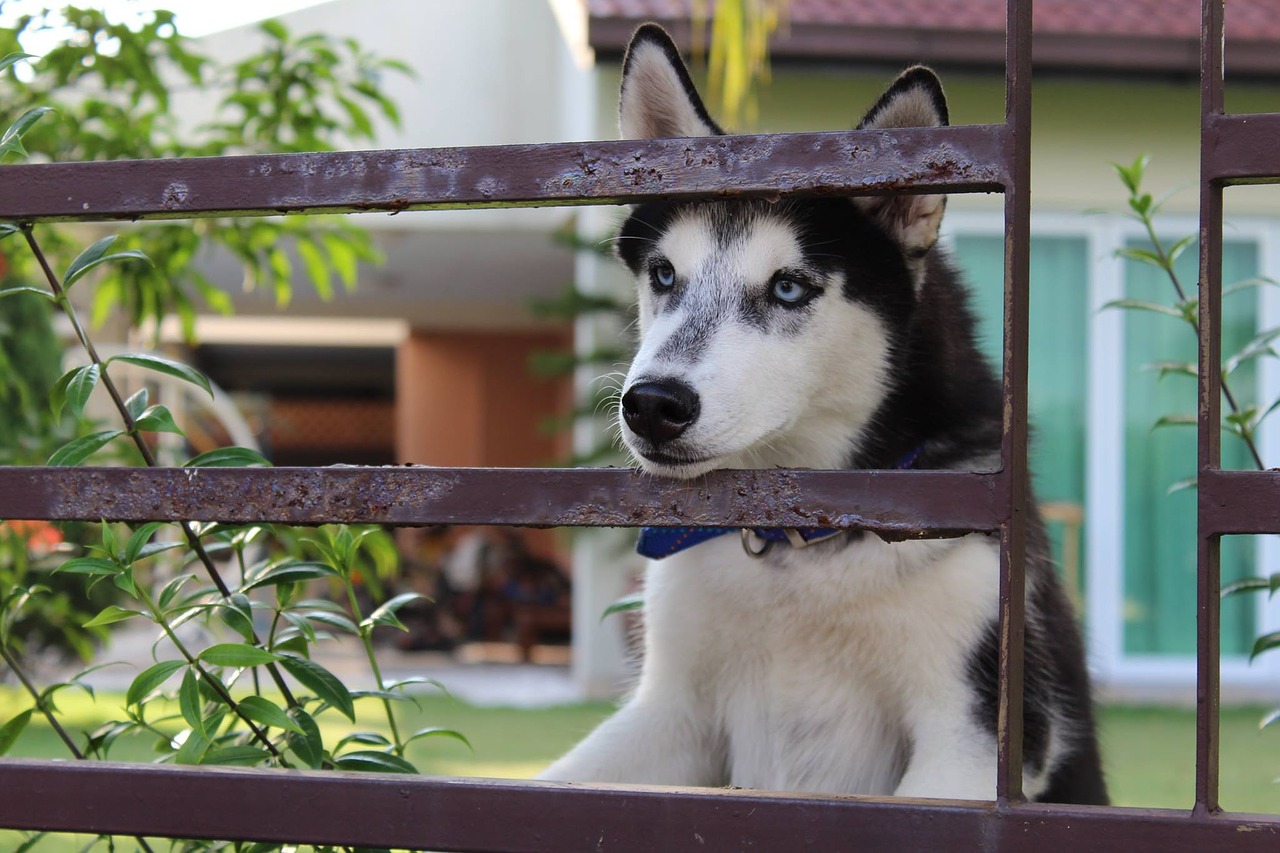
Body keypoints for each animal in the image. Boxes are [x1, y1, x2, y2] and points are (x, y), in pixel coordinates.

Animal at [542, 23, 1111, 799]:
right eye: (663, 274)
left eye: (788, 287)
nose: (653, 405)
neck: (797, 544)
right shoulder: (670, 716)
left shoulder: (969, 739)